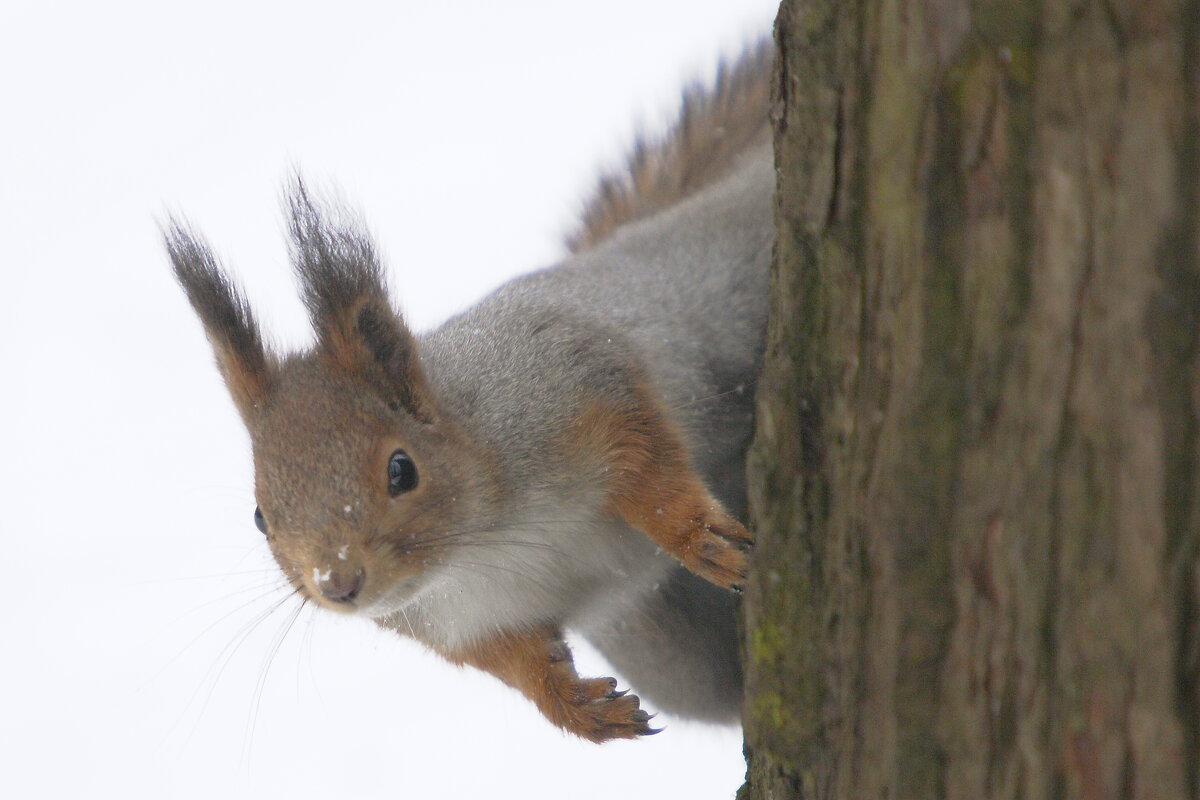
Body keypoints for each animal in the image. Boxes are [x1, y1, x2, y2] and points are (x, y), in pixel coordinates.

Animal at [166, 42, 768, 743]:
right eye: (261, 516)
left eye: (402, 469)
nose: (337, 583)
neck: (475, 549)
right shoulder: (464, 625)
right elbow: (523, 666)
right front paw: (580, 708)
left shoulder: (573, 381)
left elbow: (648, 462)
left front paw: (699, 538)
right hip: (673, 655)